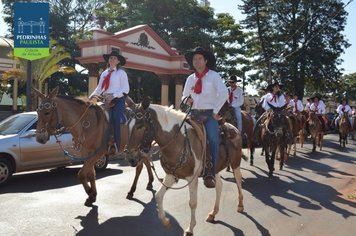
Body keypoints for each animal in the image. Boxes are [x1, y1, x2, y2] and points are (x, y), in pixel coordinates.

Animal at [125, 97, 248, 234]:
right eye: (127, 125)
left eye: (140, 127)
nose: (131, 158)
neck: (177, 140)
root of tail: (233, 128)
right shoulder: (170, 176)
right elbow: (158, 196)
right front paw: (165, 221)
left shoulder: (192, 178)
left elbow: (192, 203)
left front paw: (190, 228)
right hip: (214, 169)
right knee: (219, 186)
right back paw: (213, 213)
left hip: (235, 163)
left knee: (238, 180)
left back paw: (240, 205)